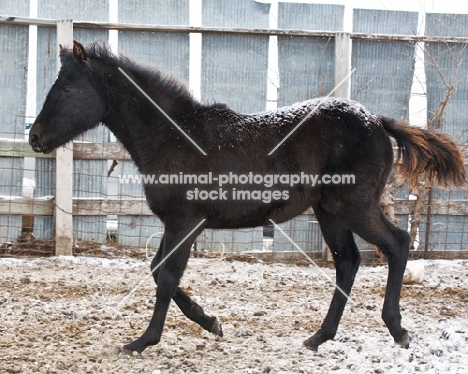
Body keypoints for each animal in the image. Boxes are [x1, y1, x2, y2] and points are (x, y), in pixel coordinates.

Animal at [30, 41, 468, 354]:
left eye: (66, 87)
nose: (35, 137)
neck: (173, 136)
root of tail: (377, 120)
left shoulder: (185, 220)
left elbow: (166, 275)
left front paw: (142, 341)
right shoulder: (179, 222)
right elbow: (158, 270)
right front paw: (211, 322)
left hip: (353, 206)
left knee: (397, 243)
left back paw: (398, 330)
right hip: (329, 211)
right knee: (348, 262)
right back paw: (319, 337)